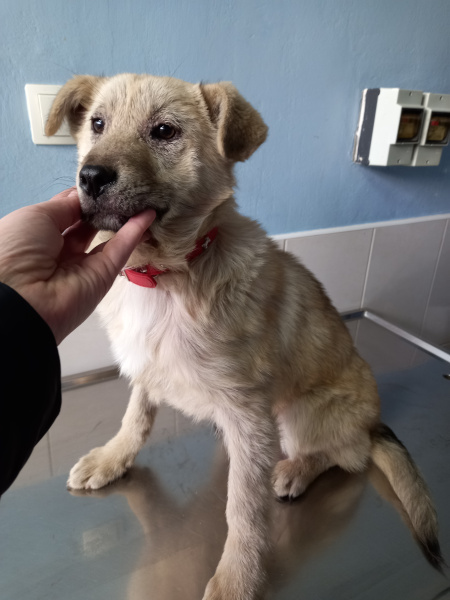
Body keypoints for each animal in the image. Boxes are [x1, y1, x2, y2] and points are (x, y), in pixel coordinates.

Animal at [46, 73, 443, 599]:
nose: (90, 177)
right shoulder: (147, 368)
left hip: (299, 413)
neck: (164, 276)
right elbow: (136, 417)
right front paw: (113, 458)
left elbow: (243, 509)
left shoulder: (249, 412)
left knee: (346, 455)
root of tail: (373, 423)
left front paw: (238, 575)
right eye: (96, 123)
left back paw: (295, 469)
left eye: (165, 131)